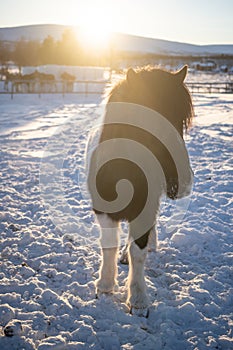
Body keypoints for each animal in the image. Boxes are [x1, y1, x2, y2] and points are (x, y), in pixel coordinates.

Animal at [87, 65, 193, 318]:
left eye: (182, 120)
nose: (181, 183)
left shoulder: (144, 211)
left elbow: (139, 252)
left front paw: (138, 299)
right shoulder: (103, 211)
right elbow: (109, 244)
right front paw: (105, 285)